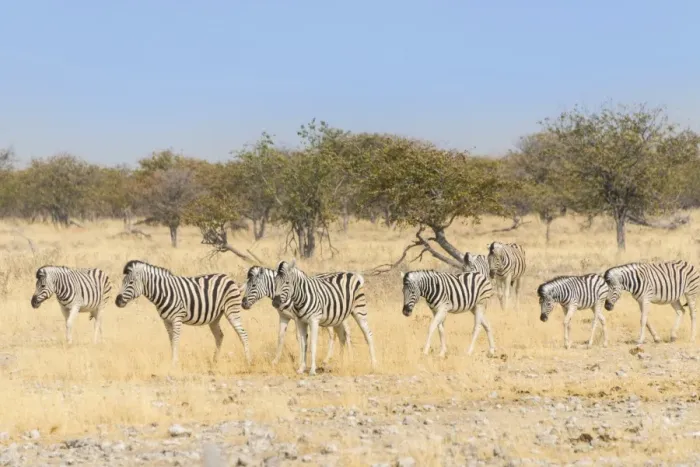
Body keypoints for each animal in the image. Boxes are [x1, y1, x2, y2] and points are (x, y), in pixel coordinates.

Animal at [115, 260, 250, 365]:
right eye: (122, 282)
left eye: (131, 282)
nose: (117, 301)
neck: (163, 292)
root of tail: (229, 279)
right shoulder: (166, 321)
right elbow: (171, 340)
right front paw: (172, 360)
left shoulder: (177, 318)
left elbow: (175, 339)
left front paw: (174, 362)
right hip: (215, 317)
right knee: (219, 336)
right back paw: (214, 361)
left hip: (231, 310)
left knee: (243, 334)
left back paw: (248, 360)